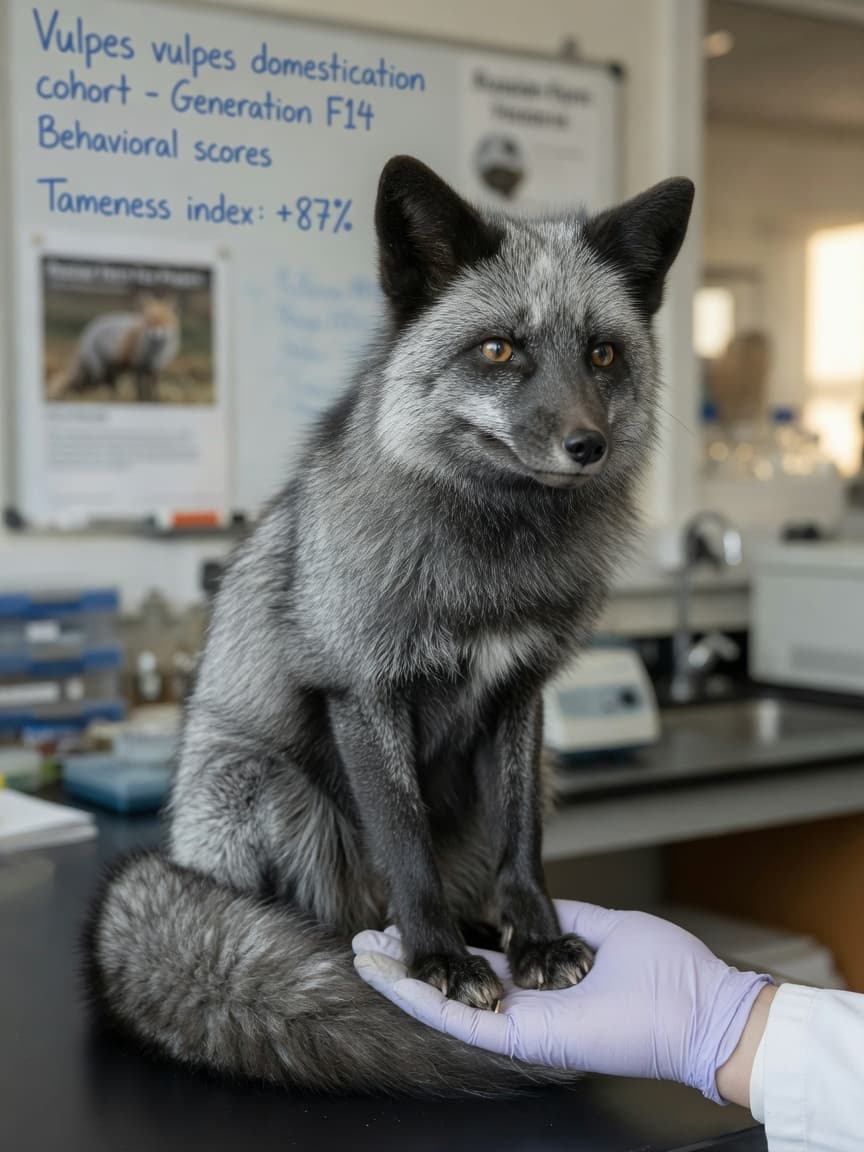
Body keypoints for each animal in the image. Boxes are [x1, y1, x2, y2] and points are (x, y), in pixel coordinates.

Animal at [49, 295, 179, 402]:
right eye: (150, 321)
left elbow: (154, 386)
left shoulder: (155, 368)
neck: (155, 353)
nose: (155, 334)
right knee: (94, 383)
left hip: (112, 370)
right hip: (99, 369)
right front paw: (142, 400)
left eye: (165, 320)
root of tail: (87, 331)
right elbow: (140, 387)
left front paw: (154, 399)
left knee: (105, 384)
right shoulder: (138, 366)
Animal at [86, 156, 693, 1094]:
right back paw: (370, 950)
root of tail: (183, 851)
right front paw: (435, 960)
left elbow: (524, 844)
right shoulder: (365, 690)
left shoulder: (521, 694)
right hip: (265, 791)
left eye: (603, 353)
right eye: (499, 349)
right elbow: (405, 844)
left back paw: (482, 931)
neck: (491, 572)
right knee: (333, 919)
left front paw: (536, 936)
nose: (585, 445)